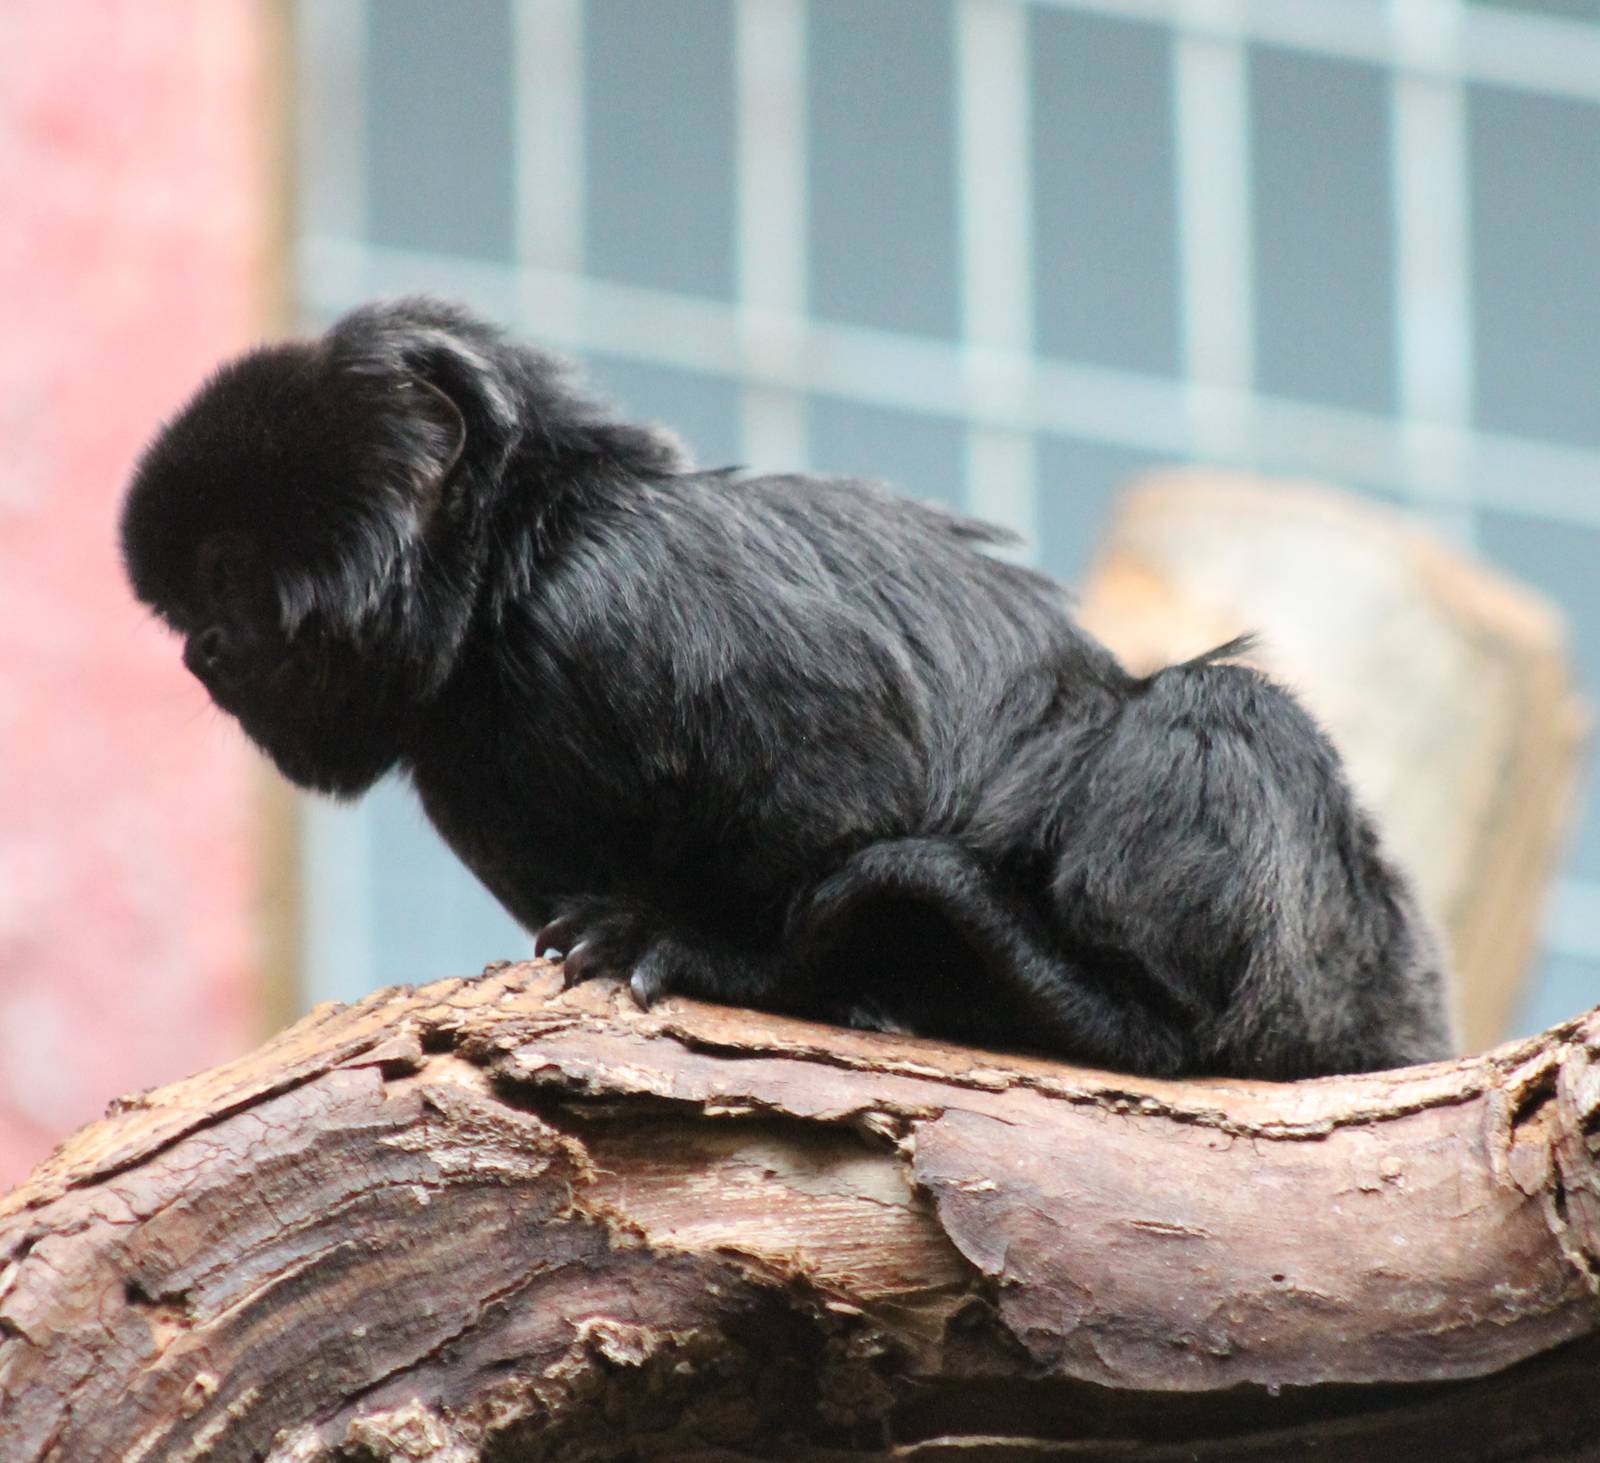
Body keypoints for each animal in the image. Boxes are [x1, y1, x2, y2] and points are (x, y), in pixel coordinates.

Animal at [120, 297, 1455, 1079]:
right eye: (189, 610)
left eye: (227, 573)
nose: (203, 653)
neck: (511, 585)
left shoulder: (638, 598)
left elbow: (836, 806)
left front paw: (715, 957)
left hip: (1338, 973)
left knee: (1222, 713)